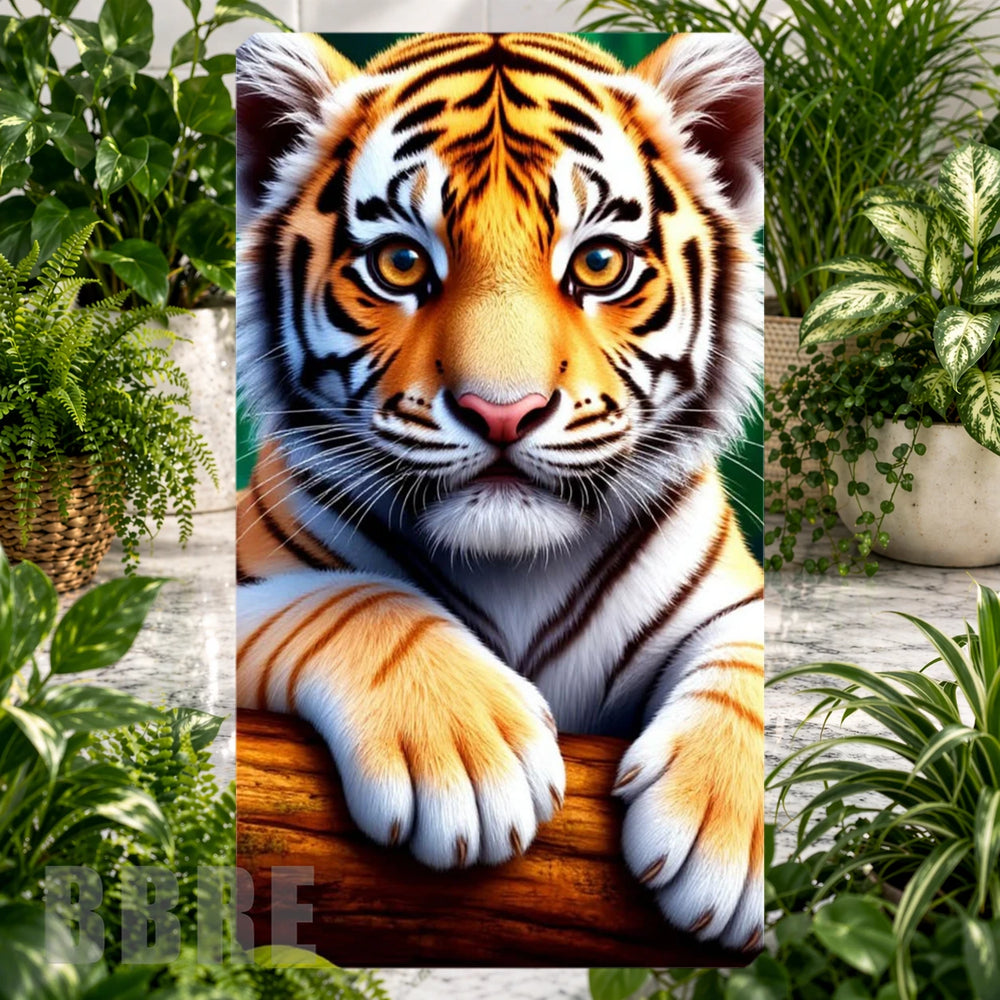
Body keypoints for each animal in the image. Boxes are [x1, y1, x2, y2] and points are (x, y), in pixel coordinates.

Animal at [235, 31, 764, 952]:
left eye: (599, 261)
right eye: (401, 261)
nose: (503, 411)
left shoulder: (735, 597)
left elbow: (749, 672)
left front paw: (721, 829)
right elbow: (354, 598)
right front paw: (464, 750)